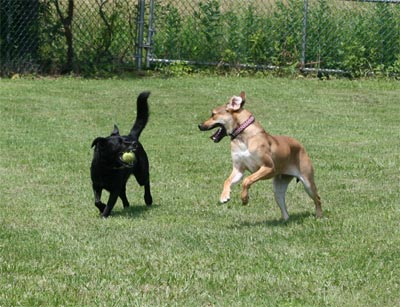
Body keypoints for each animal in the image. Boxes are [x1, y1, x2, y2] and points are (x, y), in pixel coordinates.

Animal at [90, 91, 153, 219]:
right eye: (120, 143)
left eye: (124, 140)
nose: (134, 144)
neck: (106, 167)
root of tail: (133, 136)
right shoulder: (96, 185)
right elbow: (97, 201)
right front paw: (102, 207)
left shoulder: (114, 189)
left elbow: (110, 203)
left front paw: (104, 214)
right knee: (123, 193)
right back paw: (126, 205)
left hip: (141, 173)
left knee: (146, 181)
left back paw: (148, 199)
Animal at [198, 91, 324, 221]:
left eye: (213, 114)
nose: (199, 125)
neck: (243, 137)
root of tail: (300, 146)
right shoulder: (238, 169)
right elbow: (227, 181)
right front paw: (224, 196)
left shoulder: (268, 167)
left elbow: (247, 180)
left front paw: (244, 198)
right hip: (279, 187)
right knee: (282, 202)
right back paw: (285, 220)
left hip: (307, 182)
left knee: (318, 199)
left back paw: (319, 216)